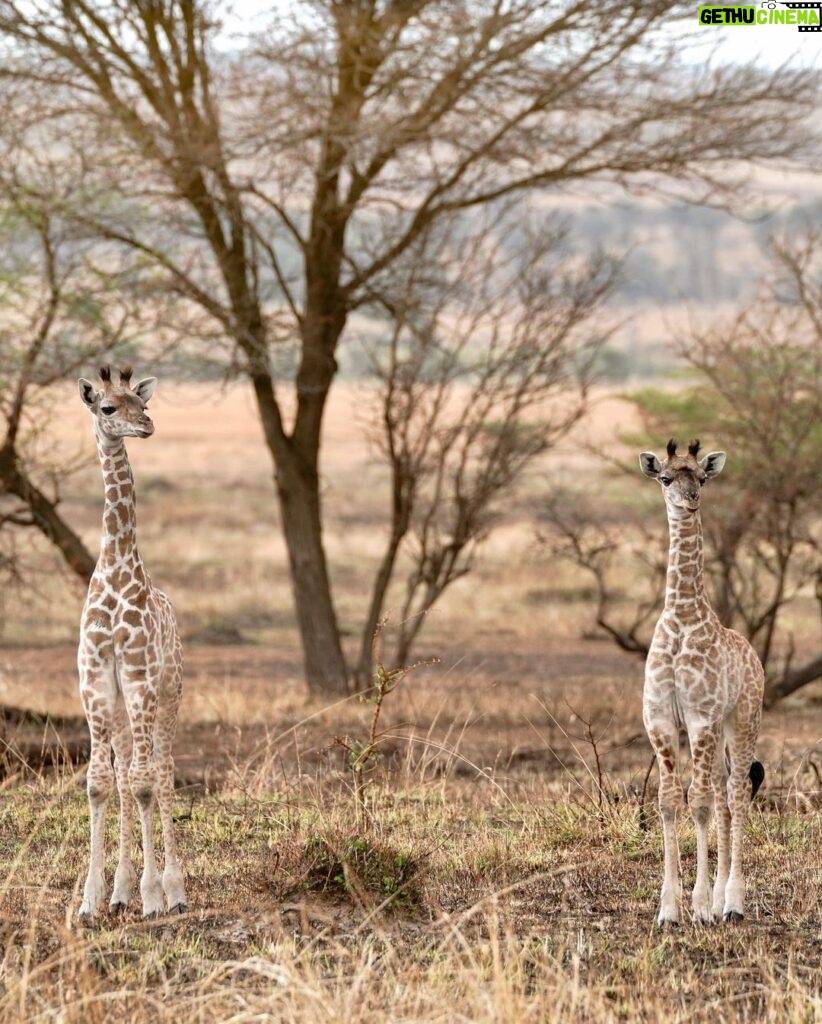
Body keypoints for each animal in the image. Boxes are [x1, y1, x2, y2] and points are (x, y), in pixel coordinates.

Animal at [642, 436, 765, 925]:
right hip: (718, 733)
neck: (682, 618)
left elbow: (698, 802)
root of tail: (753, 653)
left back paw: (730, 904)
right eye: (665, 477)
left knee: (735, 793)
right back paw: (717, 900)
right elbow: (668, 801)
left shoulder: (700, 716)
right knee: (723, 796)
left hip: (741, 720)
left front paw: (696, 906)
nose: (690, 499)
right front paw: (668, 910)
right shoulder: (659, 718)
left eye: (702, 477)